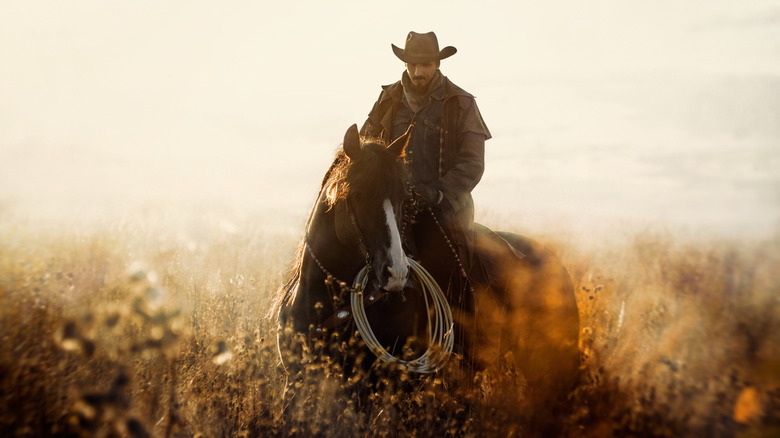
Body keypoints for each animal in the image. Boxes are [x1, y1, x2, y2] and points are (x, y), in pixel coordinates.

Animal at [274, 124, 580, 428]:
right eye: (357, 194)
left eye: (403, 198)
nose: (396, 273)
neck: (324, 303)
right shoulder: (296, 382)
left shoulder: (374, 389)